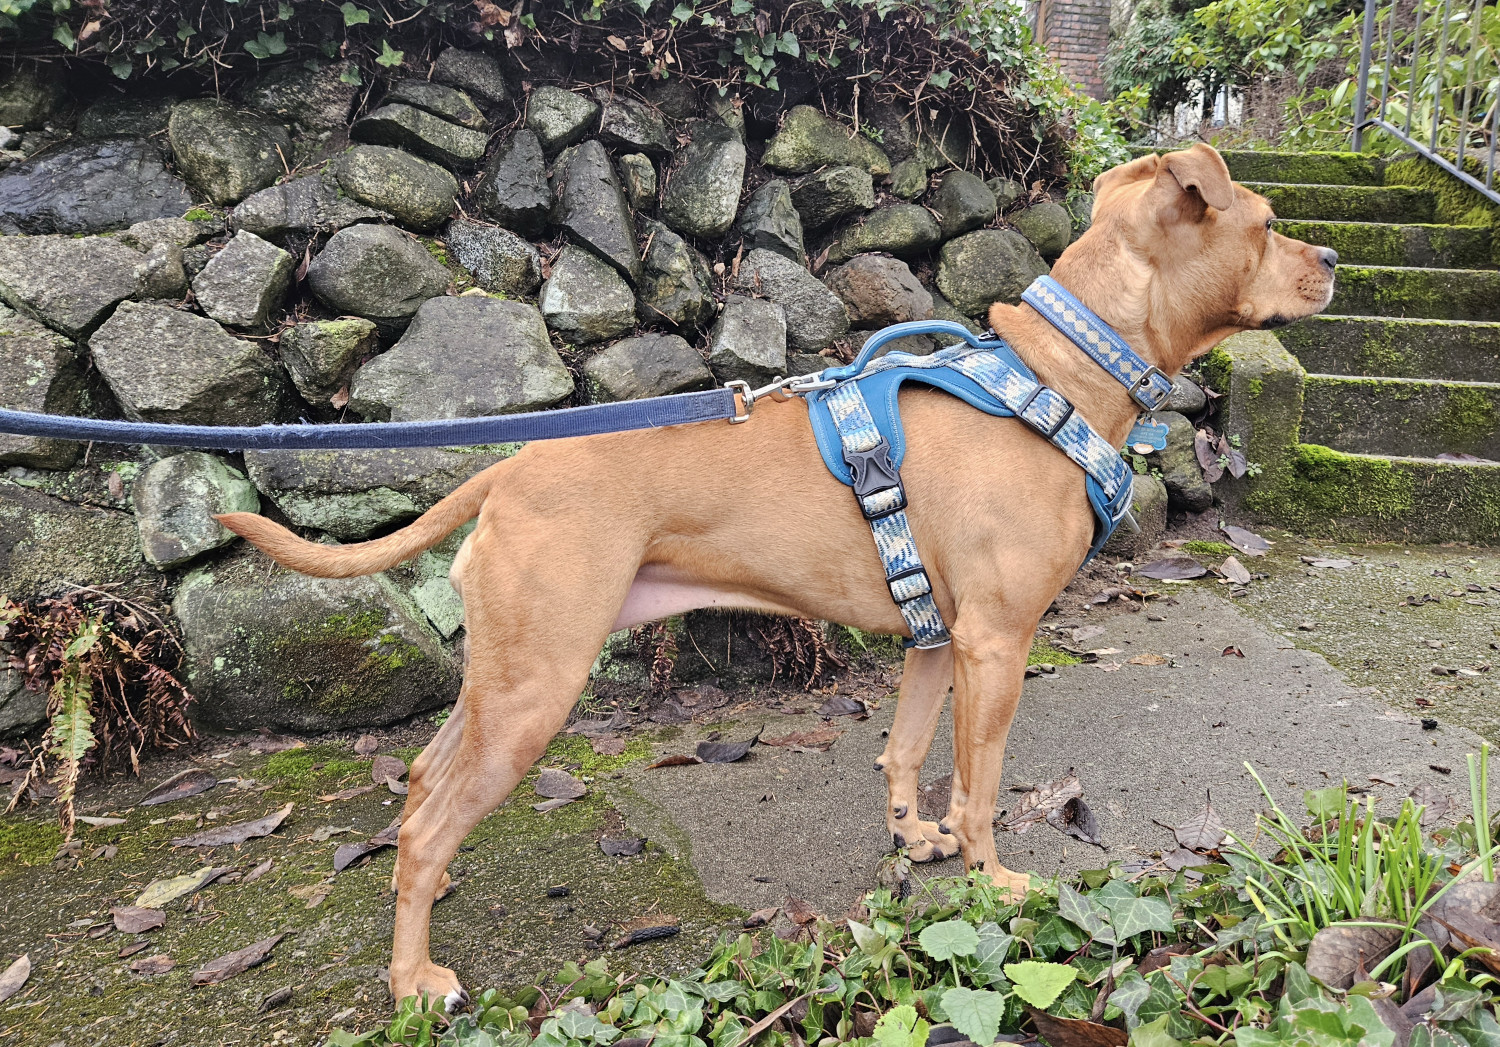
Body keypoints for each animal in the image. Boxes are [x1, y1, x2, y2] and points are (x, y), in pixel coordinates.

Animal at [219, 142, 1338, 1002]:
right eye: (1270, 222)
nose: (1330, 255)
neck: (1060, 372)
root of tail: (510, 467)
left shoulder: (941, 641)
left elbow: (906, 751)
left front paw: (915, 838)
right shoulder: (997, 644)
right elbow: (979, 784)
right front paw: (993, 878)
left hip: (502, 680)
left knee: (422, 782)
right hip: (538, 687)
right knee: (430, 822)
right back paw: (413, 976)